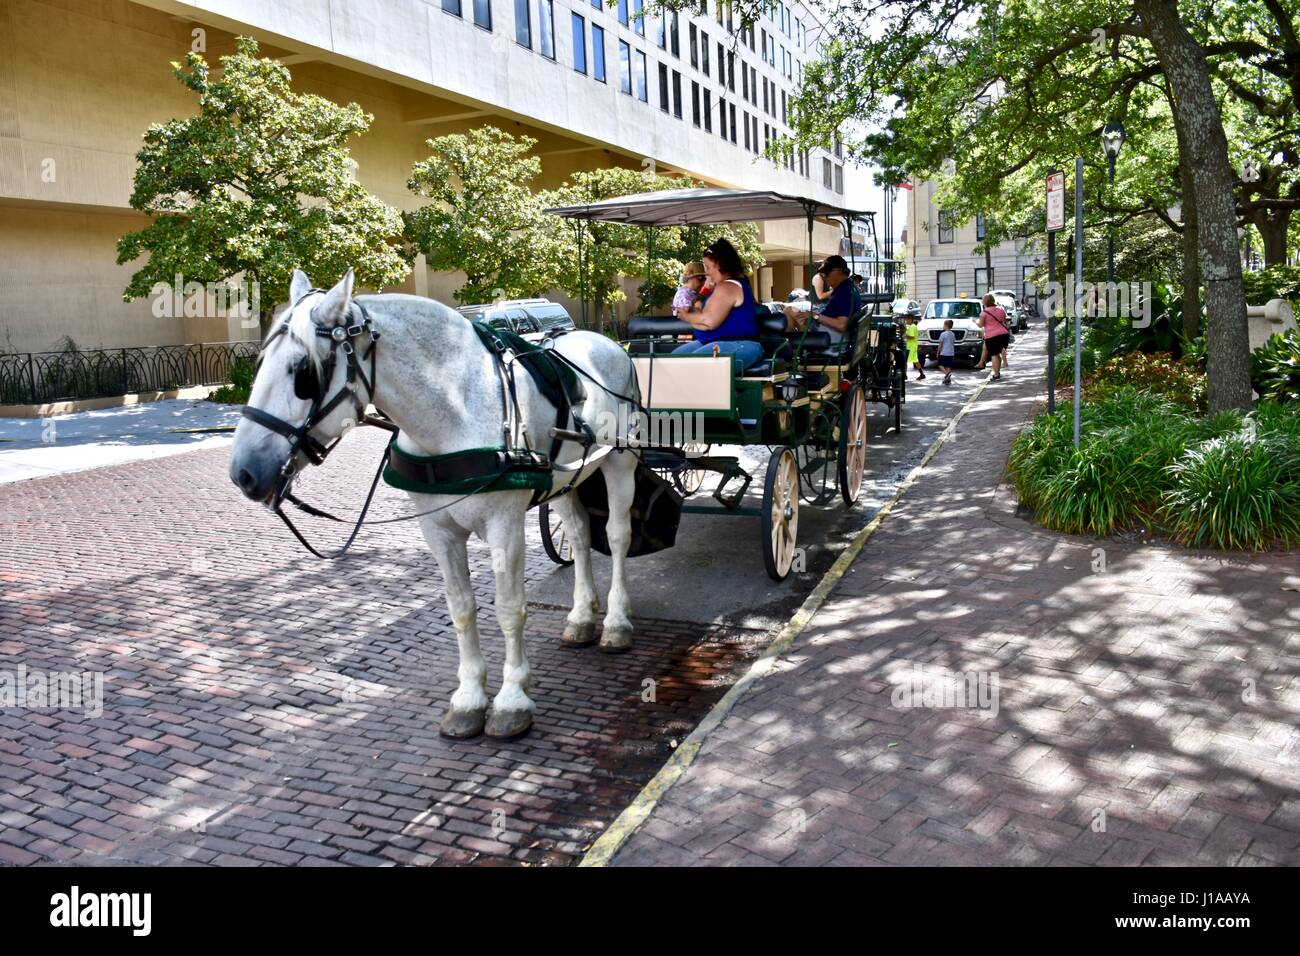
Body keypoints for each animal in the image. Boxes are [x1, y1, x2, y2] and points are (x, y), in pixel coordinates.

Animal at [228, 269, 641, 739]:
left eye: (303, 373)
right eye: (258, 364)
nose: (243, 472)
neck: (454, 410)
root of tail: (608, 342)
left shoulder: (505, 525)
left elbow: (509, 608)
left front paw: (512, 699)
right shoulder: (438, 530)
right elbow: (461, 609)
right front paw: (469, 698)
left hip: (620, 461)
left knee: (617, 535)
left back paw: (615, 622)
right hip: (569, 477)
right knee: (580, 533)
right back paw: (581, 617)